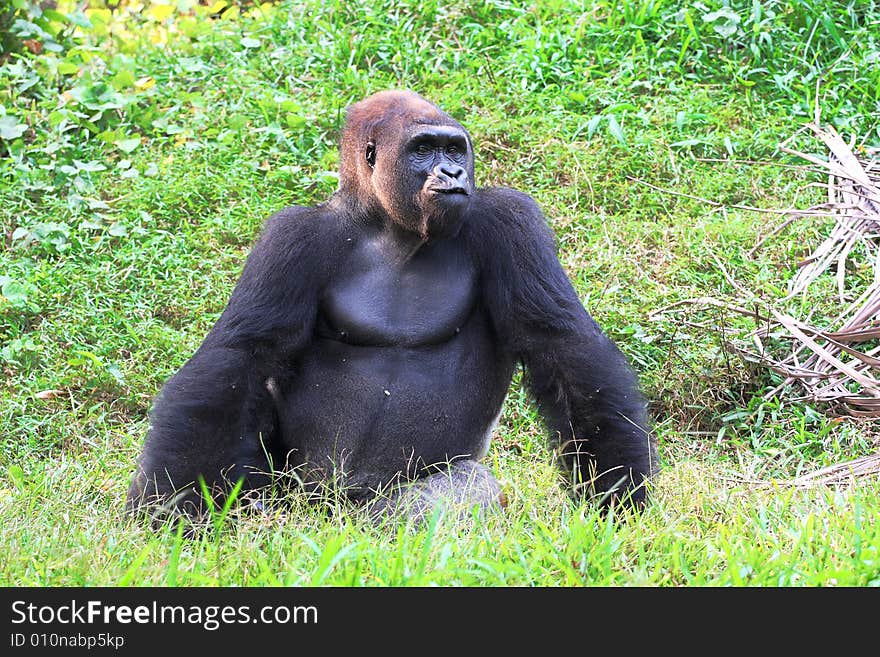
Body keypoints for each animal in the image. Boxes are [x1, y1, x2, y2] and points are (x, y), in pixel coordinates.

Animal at [127, 91, 656, 524]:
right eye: (423, 149)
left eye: (454, 149)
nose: (453, 173)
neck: (389, 226)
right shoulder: (291, 237)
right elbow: (240, 358)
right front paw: (169, 509)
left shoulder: (511, 221)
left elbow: (561, 345)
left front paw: (618, 495)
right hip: (297, 498)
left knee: (463, 490)